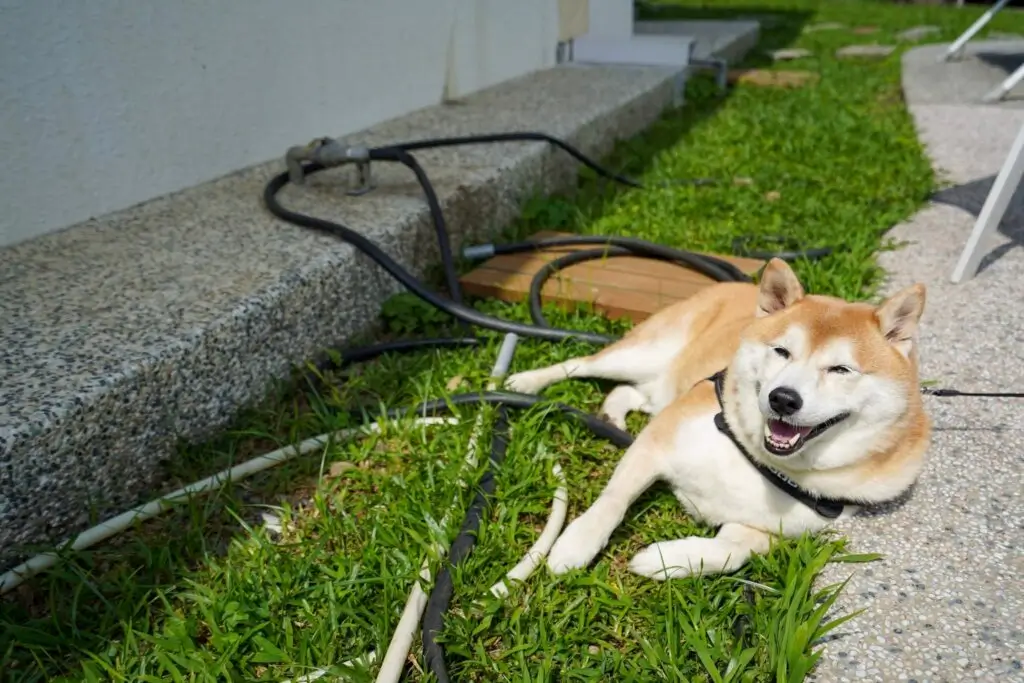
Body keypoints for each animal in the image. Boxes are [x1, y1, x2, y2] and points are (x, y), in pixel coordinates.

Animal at [503, 259, 929, 581]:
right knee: (580, 364)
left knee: (629, 392)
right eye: (782, 351)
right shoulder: (660, 438)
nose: (783, 398)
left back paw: (612, 418)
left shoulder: (777, 529)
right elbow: (613, 500)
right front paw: (576, 544)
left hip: (666, 382)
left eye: (841, 369)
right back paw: (523, 381)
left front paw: (665, 561)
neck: (760, 458)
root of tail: (735, 284)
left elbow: (731, 552)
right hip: (643, 354)